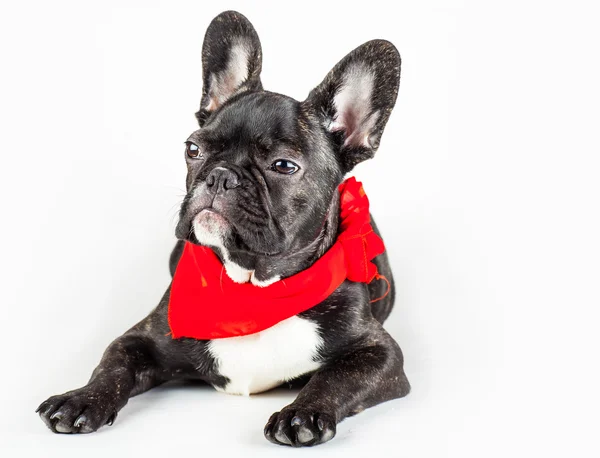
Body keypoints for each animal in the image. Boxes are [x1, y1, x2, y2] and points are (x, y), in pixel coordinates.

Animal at [37, 10, 410, 448]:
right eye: (192, 149)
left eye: (284, 165)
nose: (220, 175)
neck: (251, 289)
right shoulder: (140, 338)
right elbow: (111, 365)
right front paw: (81, 399)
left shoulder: (380, 353)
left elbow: (335, 378)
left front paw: (302, 412)